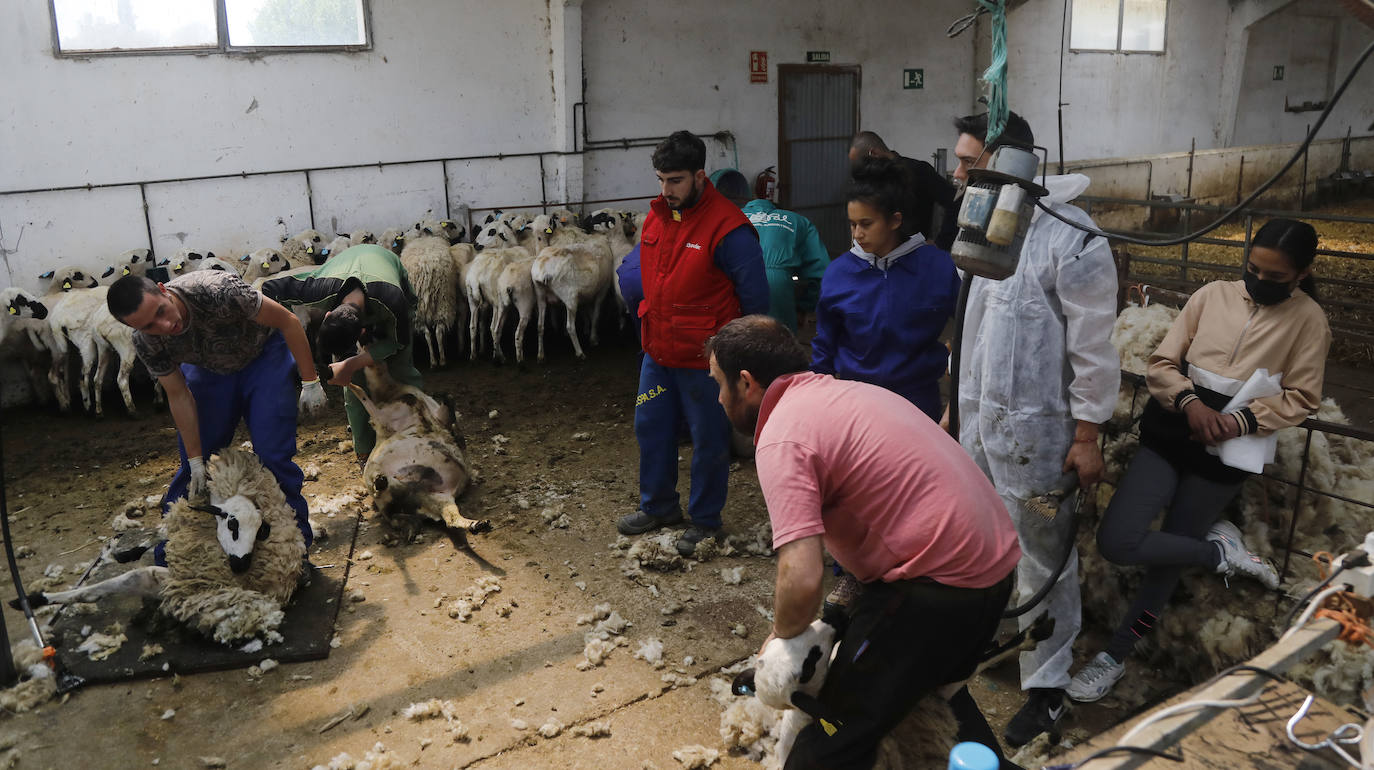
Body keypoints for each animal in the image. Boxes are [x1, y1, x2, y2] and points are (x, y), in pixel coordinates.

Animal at [13, 448, 305, 646]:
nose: (241, 565)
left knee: (109, 587)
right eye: (233, 525)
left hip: (185, 591)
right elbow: (158, 533)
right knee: (109, 586)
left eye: (259, 532)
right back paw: (31, 600)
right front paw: (126, 552)